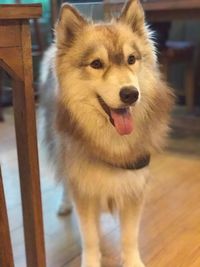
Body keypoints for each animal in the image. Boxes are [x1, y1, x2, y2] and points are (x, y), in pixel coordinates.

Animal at [39, 1, 173, 266]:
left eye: (131, 59)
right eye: (96, 64)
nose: (130, 94)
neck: (113, 145)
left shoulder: (134, 189)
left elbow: (129, 237)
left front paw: (133, 262)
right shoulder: (84, 191)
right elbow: (90, 238)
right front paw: (91, 261)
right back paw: (64, 204)